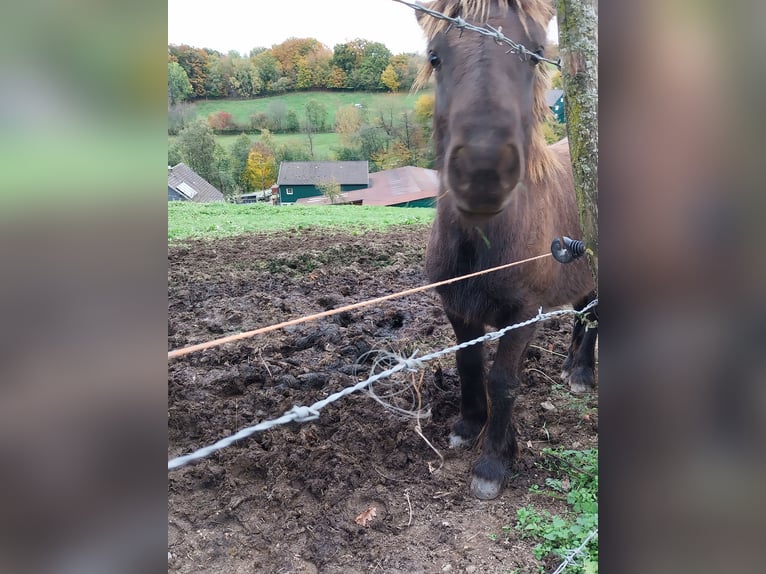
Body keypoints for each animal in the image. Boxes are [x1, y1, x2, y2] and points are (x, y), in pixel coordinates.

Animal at [416, 0, 598, 500]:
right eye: (435, 56)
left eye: (535, 55)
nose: (483, 173)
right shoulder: (458, 306)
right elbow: (468, 362)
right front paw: (467, 424)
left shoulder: (523, 313)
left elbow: (503, 380)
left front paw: (494, 462)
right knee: (583, 313)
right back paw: (571, 367)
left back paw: (582, 375)